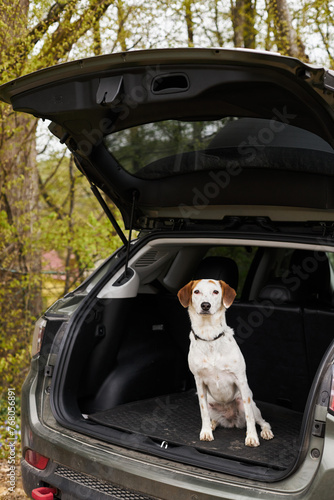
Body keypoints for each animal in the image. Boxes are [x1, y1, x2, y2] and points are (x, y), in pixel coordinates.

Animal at [177, 280, 274, 448]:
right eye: (196, 292)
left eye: (216, 292)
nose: (205, 305)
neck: (209, 337)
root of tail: (232, 421)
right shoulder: (199, 382)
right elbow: (203, 412)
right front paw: (206, 432)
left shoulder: (240, 380)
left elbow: (249, 417)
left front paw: (251, 437)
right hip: (212, 405)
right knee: (213, 418)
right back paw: (212, 425)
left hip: (248, 404)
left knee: (262, 421)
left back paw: (265, 432)